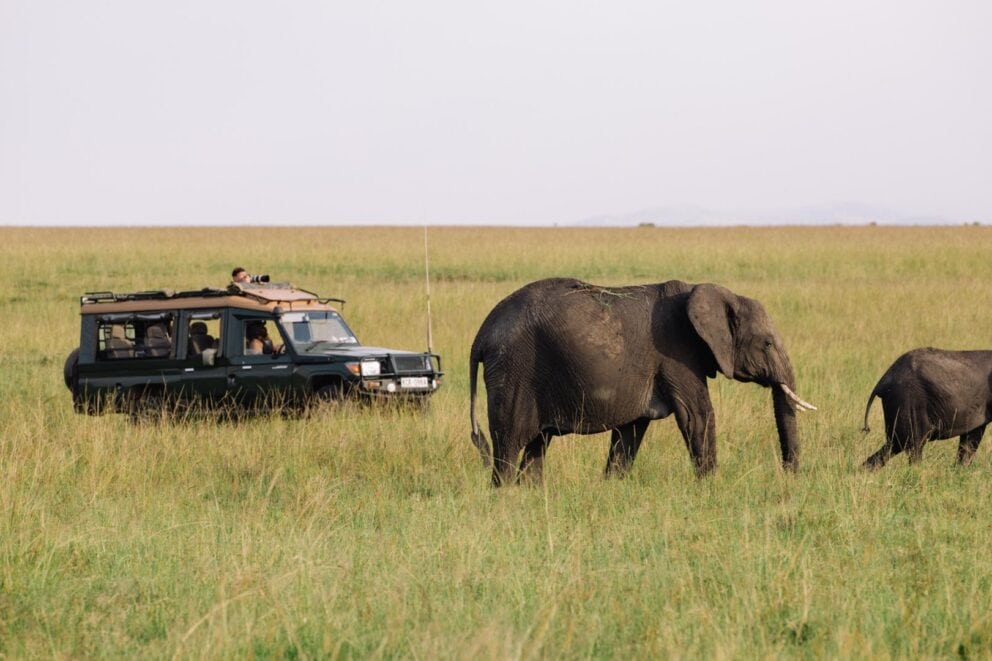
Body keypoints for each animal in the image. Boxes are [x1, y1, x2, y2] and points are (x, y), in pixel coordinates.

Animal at [468, 277, 816, 486]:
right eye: (767, 344)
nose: (788, 477)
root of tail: (481, 334)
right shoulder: (677, 354)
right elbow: (697, 416)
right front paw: (711, 486)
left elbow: (631, 430)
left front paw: (612, 487)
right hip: (514, 370)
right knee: (508, 444)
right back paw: (505, 495)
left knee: (537, 445)